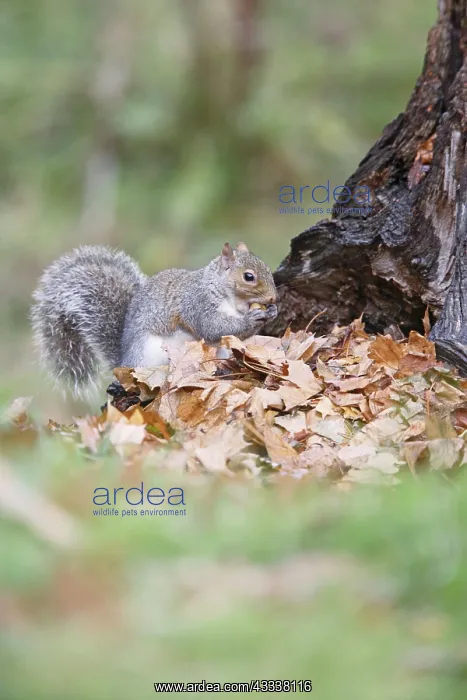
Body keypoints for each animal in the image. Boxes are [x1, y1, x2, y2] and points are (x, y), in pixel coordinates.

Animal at [31, 242, 277, 395]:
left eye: (267, 267)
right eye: (249, 277)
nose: (273, 297)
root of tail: (122, 361)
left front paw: (272, 311)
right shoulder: (196, 304)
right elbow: (212, 328)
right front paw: (254, 317)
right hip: (147, 357)